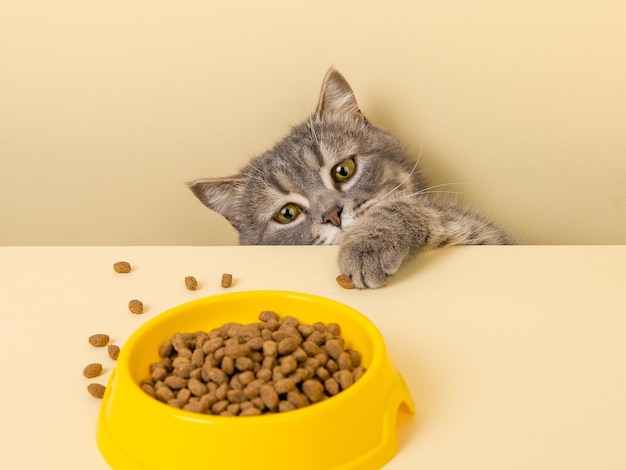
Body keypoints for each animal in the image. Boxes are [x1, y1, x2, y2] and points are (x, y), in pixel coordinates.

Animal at [188, 68, 516, 288]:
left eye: (343, 170)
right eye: (287, 213)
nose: (333, 214)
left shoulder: (486, 235)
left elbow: (406, 207)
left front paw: (367, 243)